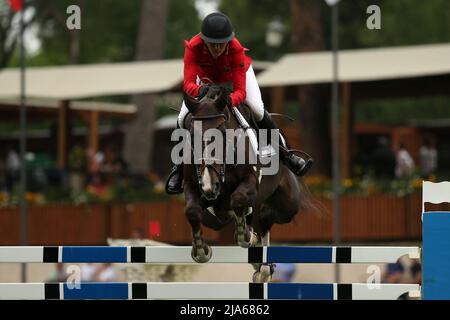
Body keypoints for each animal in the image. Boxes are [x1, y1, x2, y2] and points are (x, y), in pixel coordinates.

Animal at [179, 85, 312, 280]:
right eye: (191, 133)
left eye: (222, 130)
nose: (210, 186)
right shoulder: (193, 186)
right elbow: (191, 210)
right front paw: (201, 251)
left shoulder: (250, 180)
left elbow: (238, 199)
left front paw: (247, 236)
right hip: (214, 220)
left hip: (287, 205)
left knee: (265, 218)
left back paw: (263, 265)